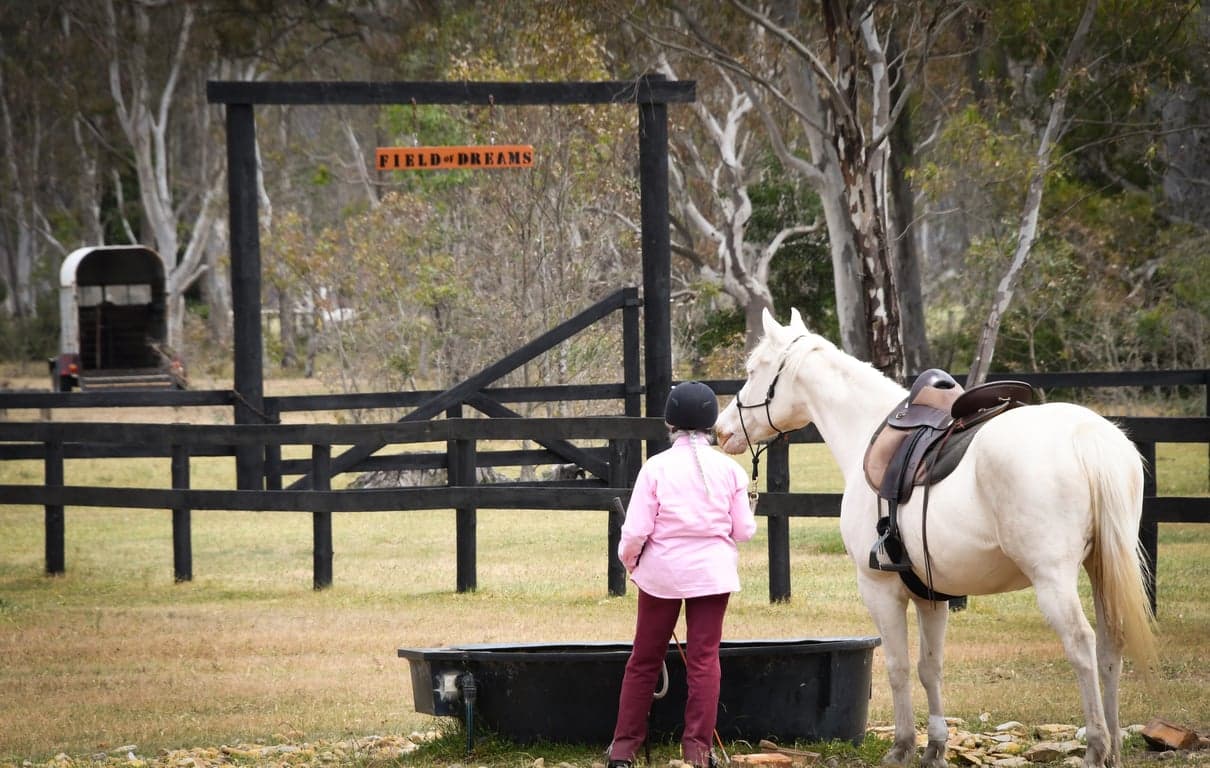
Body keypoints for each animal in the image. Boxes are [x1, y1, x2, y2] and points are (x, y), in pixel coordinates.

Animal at [714, 308, 1157, 768]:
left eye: (753, 370)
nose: (721, 430)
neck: (866, 432)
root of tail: (1086, 436)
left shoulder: (879, 589)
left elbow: (897, 666)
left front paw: (903, 745)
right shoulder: (930, 594)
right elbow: (930, 667)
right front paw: (935, 746)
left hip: (1053, 579)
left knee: (1082, 645)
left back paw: (1096, 746)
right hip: (1102, 568)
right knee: (1110, 646)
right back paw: (1113, 747)